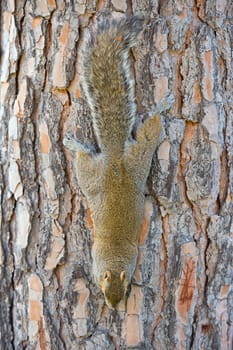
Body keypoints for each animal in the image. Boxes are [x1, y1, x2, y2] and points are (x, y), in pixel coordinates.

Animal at [62, 15, 174, 308]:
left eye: (123, 292)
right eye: (103, 290)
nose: (113, 308)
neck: (114, 255)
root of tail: (115, 159)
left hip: (126, 163)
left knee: (147, 132)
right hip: (118, 165)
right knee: (148, 132)